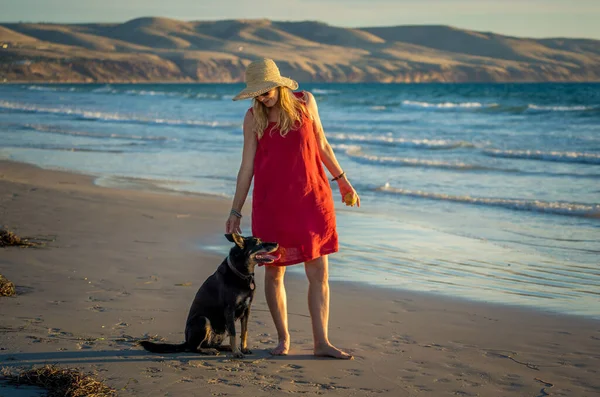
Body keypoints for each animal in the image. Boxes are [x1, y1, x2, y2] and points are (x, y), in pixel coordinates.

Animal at [140, 234, 278, 358]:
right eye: (257, 242)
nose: (277, 243)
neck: (241, 273)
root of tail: (186, 341)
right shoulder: (230, 309)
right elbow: (234, 333)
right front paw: (237, 352)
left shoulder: (247, 309)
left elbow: (244, 332)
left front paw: (243, 349)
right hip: (203, 320)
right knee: (194, 348)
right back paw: (209, 351)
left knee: (210, 344)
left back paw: (224, 347)